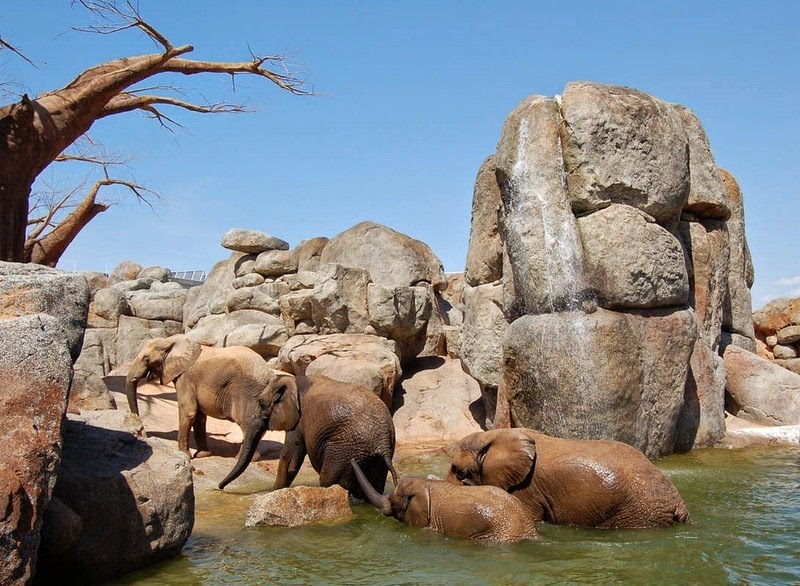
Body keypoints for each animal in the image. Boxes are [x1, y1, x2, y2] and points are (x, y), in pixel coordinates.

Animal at [260, 372, 398, 496]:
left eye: (261, 404)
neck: (294, 380)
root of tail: (383, 441)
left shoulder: (299, 421)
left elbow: (290, 459)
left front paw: (274, 492)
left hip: (345, 450)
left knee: (329, 480)